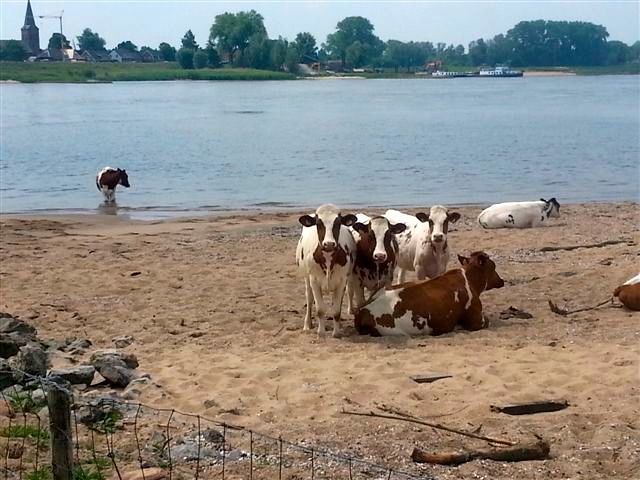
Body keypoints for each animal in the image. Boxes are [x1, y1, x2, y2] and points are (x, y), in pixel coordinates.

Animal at [295, 204, 357, 337]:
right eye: (318, 223)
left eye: (338, 223)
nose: (329, 244)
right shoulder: (314, 280)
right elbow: (320, 309)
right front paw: (321, 332)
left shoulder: (341, 281)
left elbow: (336, 310)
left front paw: (336, 333)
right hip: (306, 278)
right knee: (309, 299)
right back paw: (307, 324)